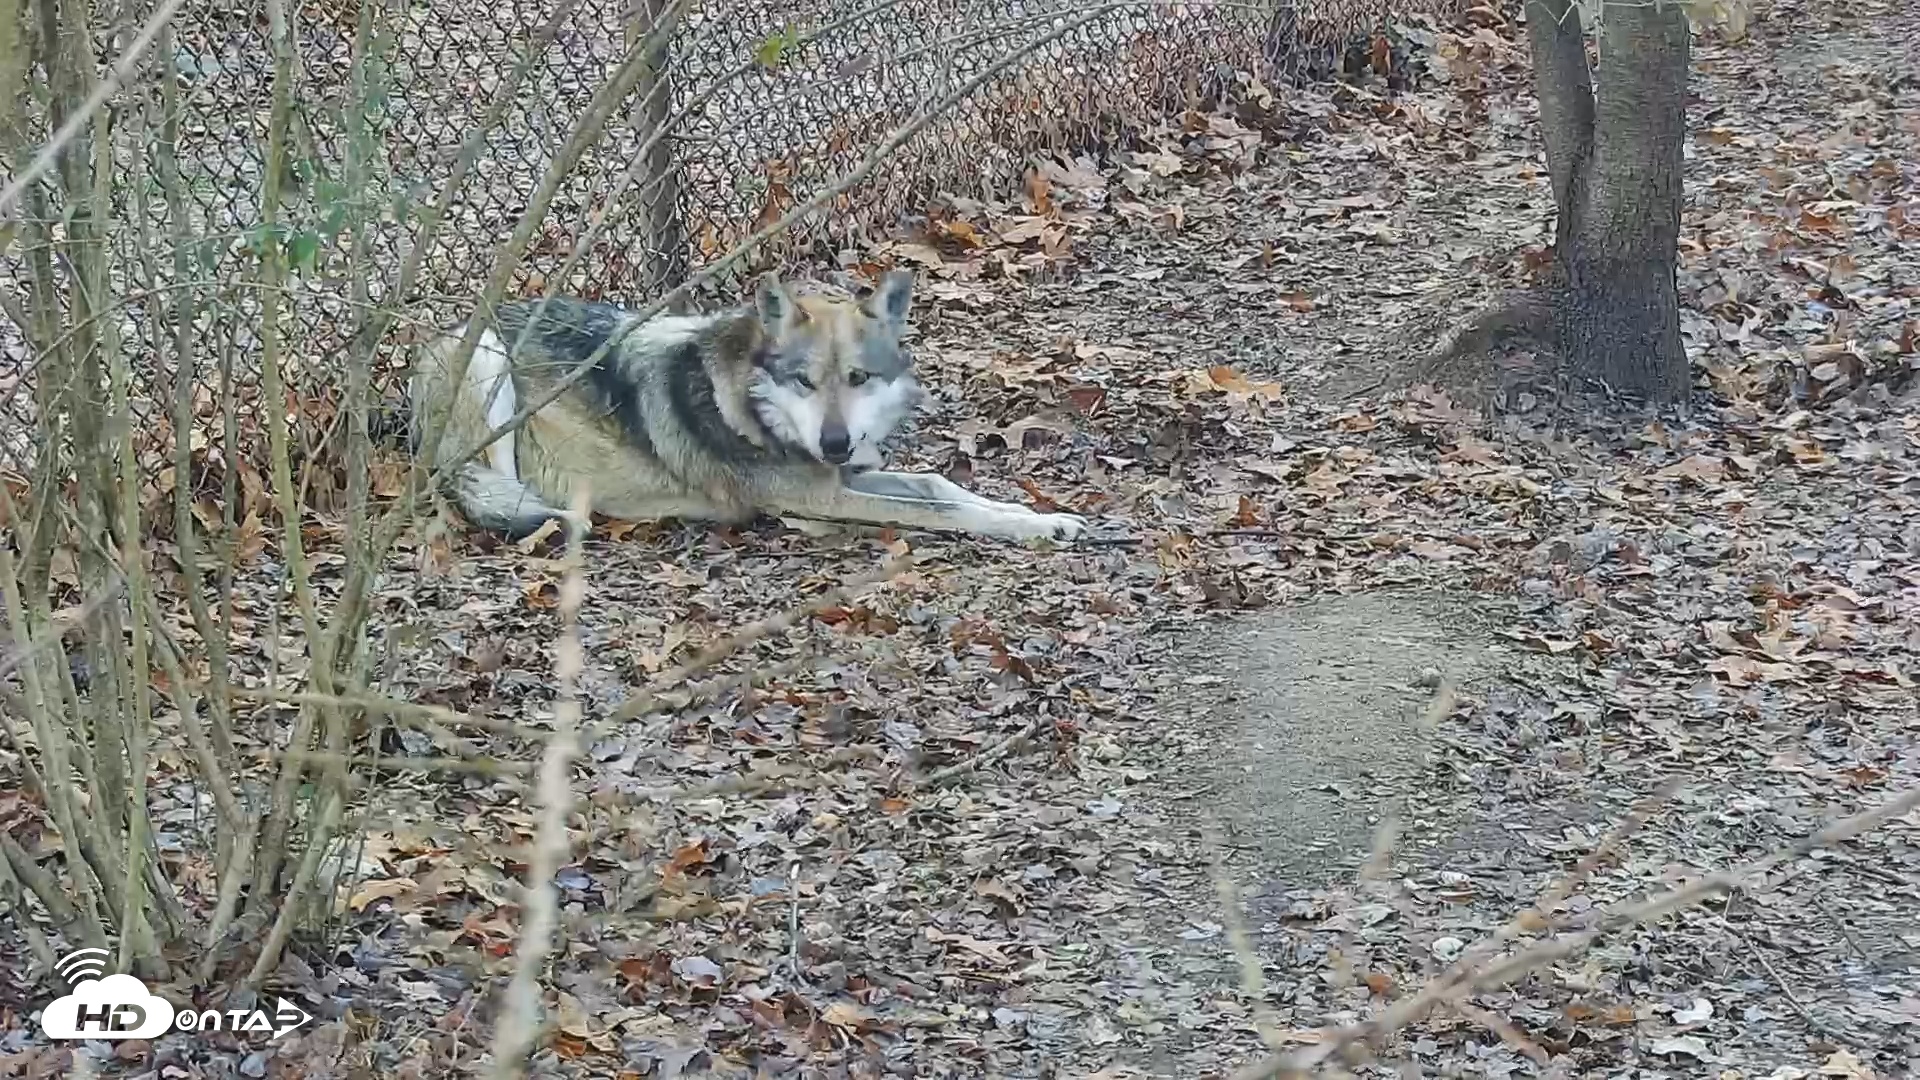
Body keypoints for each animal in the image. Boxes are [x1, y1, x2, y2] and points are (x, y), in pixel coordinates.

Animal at [407, 270, 1090, 544]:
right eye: (804, 381)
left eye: (857, 378)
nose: (835, 443)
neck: (748, 407)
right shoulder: (822, 498)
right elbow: (944, 513)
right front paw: (1027, 529)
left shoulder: (845, 476)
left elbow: (940, 488)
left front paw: (1042, 517)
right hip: (490, 366)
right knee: (486, 489)